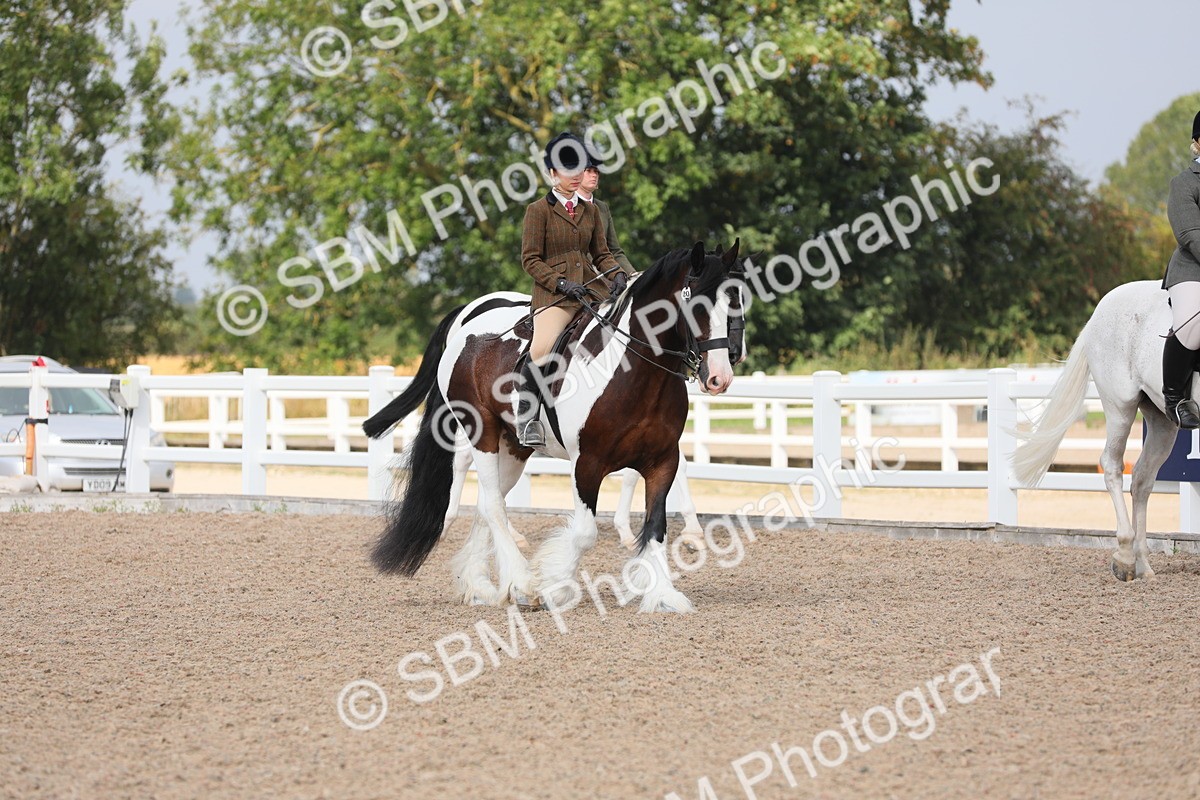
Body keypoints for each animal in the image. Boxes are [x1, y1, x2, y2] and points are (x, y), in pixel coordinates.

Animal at [363, 241, 745, 612]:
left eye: (738, 302)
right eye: (698, 305)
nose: (720, 376)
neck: (634, 373)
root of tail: (466, 329)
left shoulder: (662, 461)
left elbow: (655, 527)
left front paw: (664, 595)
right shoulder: (587, 463)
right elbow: (586, 532)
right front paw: (555, 587)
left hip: (514, 446)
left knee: (488, 503)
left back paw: (479, 586)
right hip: (481, 431)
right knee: (491, 503)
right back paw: (521, 584)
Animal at [1013, 280, 1182, 581]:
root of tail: (1097, 313)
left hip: (1162, 419)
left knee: (1142, 479)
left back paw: (1143, 565)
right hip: (1120, 407)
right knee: (1113, 466)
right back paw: (1125, 557)